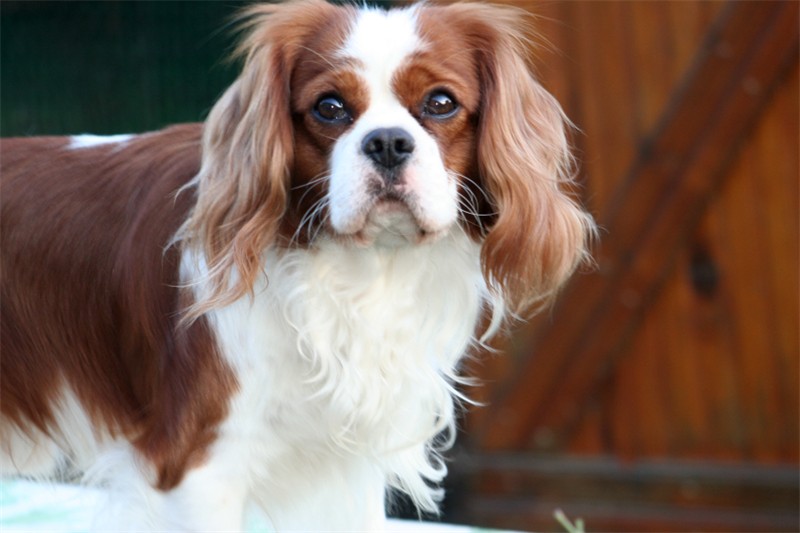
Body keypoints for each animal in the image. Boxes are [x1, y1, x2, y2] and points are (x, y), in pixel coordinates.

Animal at [0, 2, 592, 528]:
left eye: (441, 102)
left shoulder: (348, 465)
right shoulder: (196, 465)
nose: (388, 142)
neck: (361, 269)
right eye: (329, 107)